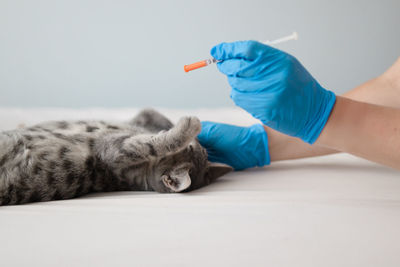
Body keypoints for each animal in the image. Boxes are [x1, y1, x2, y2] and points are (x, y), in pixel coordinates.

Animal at [0, 110, 231, 206]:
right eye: (193, 146)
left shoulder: (114, 149)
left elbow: (152, 142)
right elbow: (151, 113)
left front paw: (188, 125)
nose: (199, 143)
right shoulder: (137, 121)